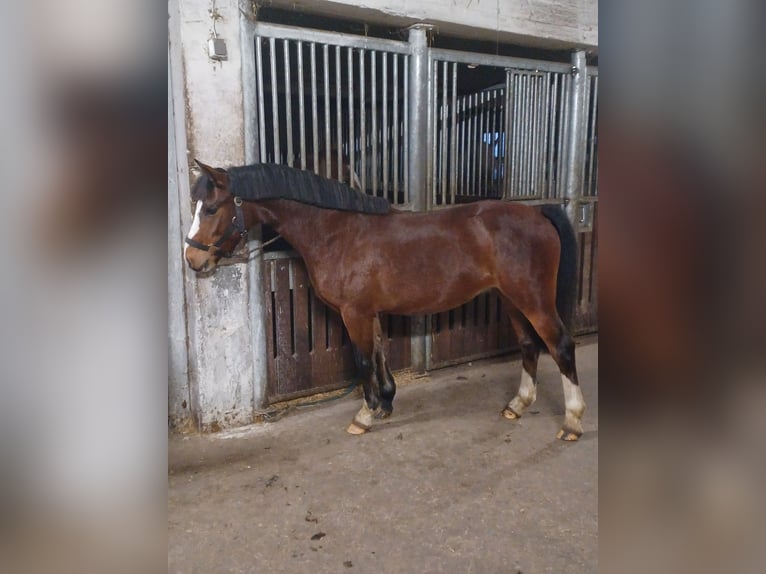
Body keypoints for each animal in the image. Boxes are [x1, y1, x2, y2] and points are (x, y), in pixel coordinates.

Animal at [186, 161, 588, 440]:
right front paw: (386, 402)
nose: (192, 259)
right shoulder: (370, 311)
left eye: (211, 208)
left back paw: (572, 421)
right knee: (529, 346)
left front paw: (364, 416)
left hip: (533, 300)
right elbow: (379, 353)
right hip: (511, 299)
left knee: (560, 346)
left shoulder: (354, 313)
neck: (337, 232)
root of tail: (536, 212)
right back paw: (517, 406)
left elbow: (363, 359)